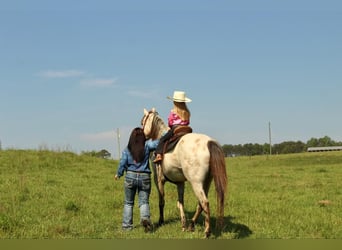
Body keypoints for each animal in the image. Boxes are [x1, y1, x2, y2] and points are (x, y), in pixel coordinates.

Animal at [140, 108, 228, 238]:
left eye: (142, 122)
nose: (142, 137)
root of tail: (209, 143)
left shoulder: (158, 179)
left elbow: (162, 201)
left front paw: (161, 221)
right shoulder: (180, 182)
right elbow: (180, 202)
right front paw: (183, 224)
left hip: (196, 183)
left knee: (204, 203)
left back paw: (207, 232)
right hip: (207, 182)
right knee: (200, 205)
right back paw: (191, 225)